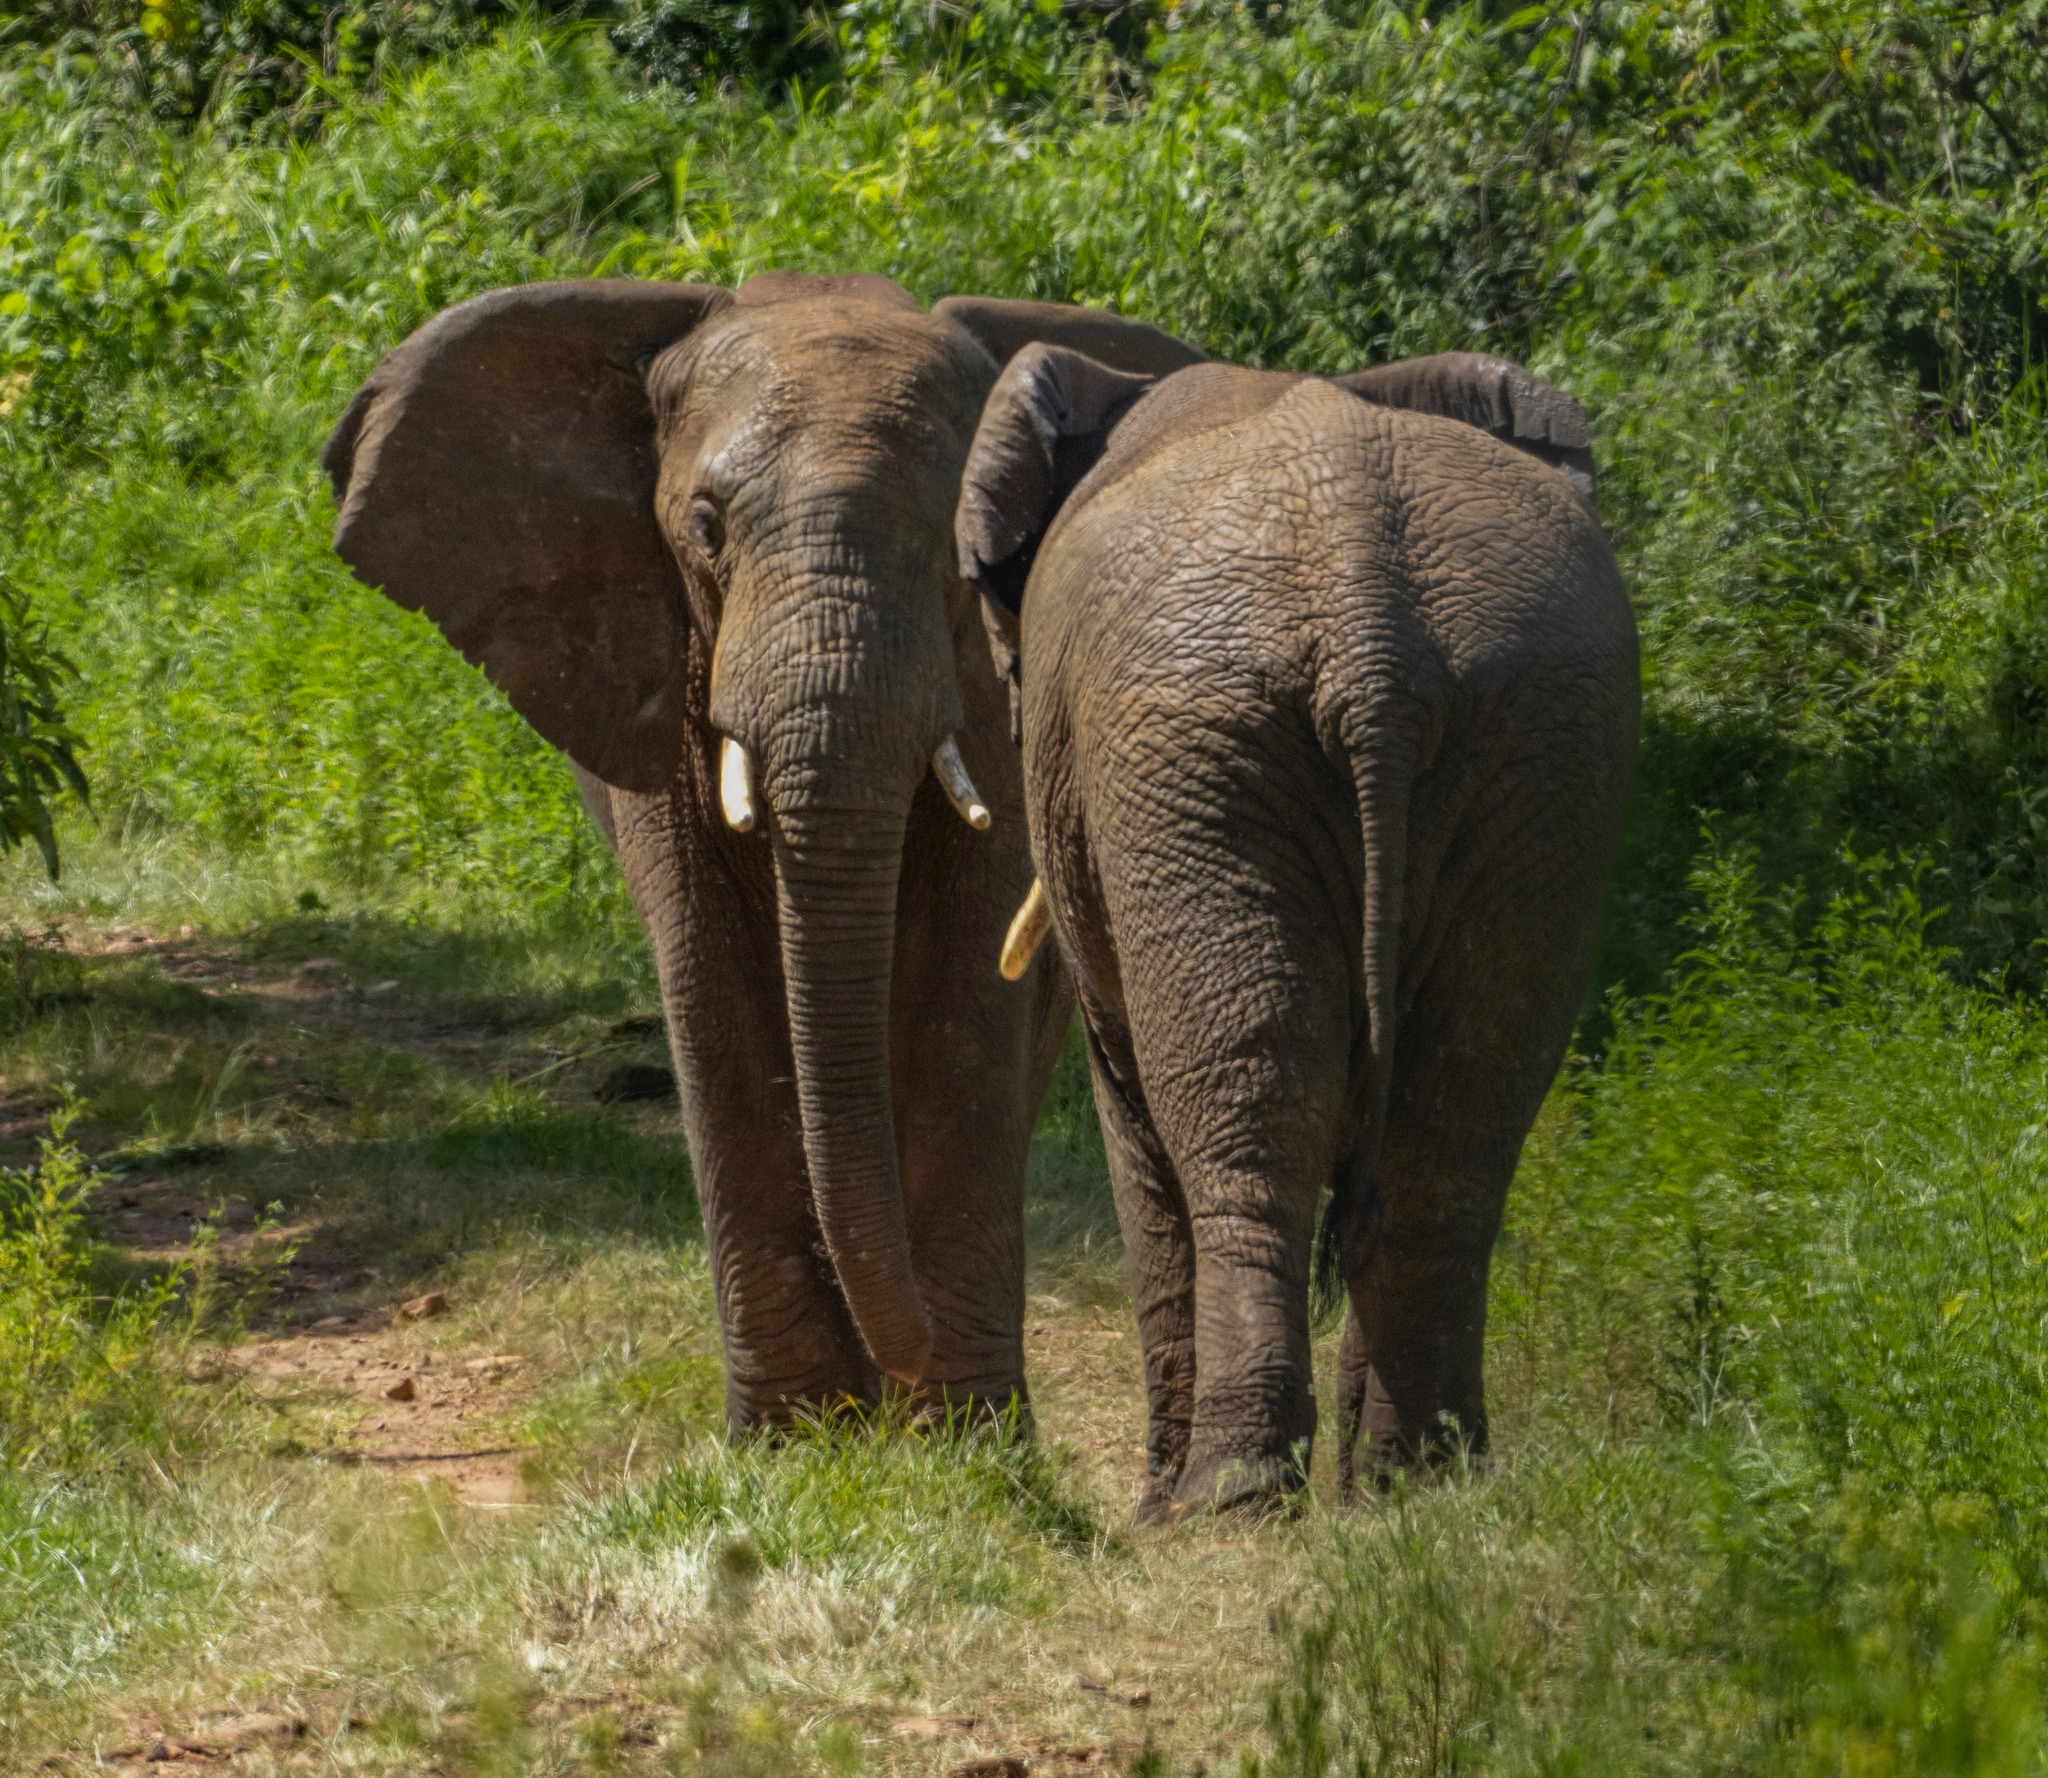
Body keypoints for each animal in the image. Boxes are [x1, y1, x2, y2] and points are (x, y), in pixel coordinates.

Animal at [322, 271, 1203, 1426]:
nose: (906, 1367)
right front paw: (792, 1437)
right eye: (704, 530)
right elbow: (713, 977)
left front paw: (962, 1435)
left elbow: (963, 985)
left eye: (952, 547)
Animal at [955, 347, 1638, 1516]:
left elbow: (1130, 1111)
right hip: (1542, 746)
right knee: (1453, 1127)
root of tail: (1375, 641)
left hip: (1198, 752)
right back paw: (1418, 1485)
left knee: (1247, 1117)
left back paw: (1220, 1501)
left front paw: (1156, 1505)